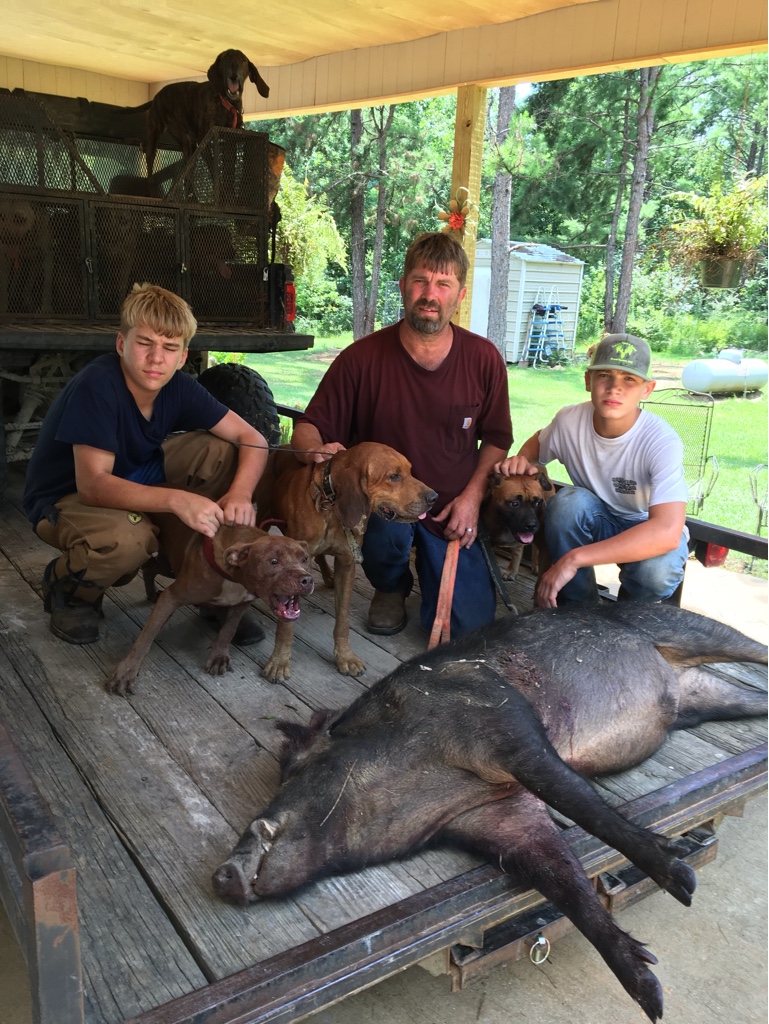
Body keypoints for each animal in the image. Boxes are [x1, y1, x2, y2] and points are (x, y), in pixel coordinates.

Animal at [106, 517, 312, 696]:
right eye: (273, 562)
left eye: (305, 559)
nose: (307, 579)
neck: (234, 576)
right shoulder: (171, 597)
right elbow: (146, 636)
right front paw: (127, 671)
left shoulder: (242, 603)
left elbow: (229, 629)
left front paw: (219, 655)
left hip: (169, 565)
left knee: (151, 568)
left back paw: (152, 593)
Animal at [141, 50, 270, 192]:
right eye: (226, 57)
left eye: (242, 59)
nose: (234, 67)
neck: (227, 103)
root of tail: (156, 97)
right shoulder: (205, 138)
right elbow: (214, 168)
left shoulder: (231, 138)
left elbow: (230, 168)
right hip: (154, 135)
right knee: (150, 164)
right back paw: (150, 189)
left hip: (188, 147)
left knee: (188, 174)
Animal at [212, 604, 767, 1022]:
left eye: (295, 769)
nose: (220, 876)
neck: (428, 790)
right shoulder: (500, 817)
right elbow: (565, 884)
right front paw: (652, 997)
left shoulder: (505, 729)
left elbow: (585, 808)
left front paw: (683, 883)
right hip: (704, 697)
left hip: (681, 626)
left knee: (746, 647)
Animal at [254, 442, 438, 683]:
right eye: (394, 476)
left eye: (410, 471)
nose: (434, 497)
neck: (330, 505)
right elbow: (286, 624)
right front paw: (279, 661)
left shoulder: (347, 564)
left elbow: (342, 619)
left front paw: (345, 656)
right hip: (262, 519)